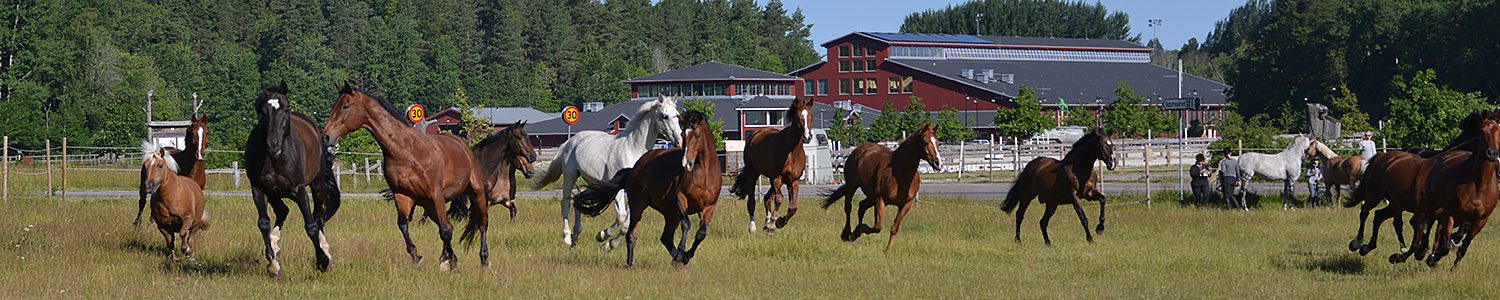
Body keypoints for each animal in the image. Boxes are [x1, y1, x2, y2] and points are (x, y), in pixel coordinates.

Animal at [243, 81, 343, 276]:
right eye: (263, 111)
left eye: (285, 109)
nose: (273, 144)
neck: (275, 159)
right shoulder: (258, 189)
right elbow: (263, 223)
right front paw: (273, 263)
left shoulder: (299, 189)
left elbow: (311, 226)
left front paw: (322, 261)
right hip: (274, 193)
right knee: (283, 211)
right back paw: (275, 246)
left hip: (317, 185)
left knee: (318, 218)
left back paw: (326, 251)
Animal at [324, 82, 498, 271]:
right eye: (333, 106)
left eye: (345, 106)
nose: (326, 136)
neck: (408, 152)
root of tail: (463, 145)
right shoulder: (403, 196)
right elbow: (404, 225)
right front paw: (419, 258)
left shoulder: (436, 195)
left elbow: (445, 232)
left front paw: (454, 265)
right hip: (429, 205)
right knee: (449, 226)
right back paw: (444, 259)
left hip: (476, 192)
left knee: (481, 223)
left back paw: (484, 260)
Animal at [531, 96, 687, 249]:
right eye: (665, 116)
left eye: (677, 115)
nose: (679, 140)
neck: (632, 149)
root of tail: (571, 141)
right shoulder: (617, 189)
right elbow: (622, 216)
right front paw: (604, 236)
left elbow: (627, 222)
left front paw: (609, 243)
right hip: (570, 178)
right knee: (566, 203)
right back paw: (567, 238)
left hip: (593, 185)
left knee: (578, 199)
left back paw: (576, 235)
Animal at [732, 98, 816, 234]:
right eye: (798, 116)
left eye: (811, 115)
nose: (807, 137)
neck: (791, 152)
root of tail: (754, 134)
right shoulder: (777, 178)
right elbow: (779, 199)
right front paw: (773, 224)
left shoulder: (794, 181)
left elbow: (793, 207)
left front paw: (778, 222)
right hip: (753, 173)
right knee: (752, 202)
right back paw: (753, 227)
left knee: (767, 198)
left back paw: (766, 223)